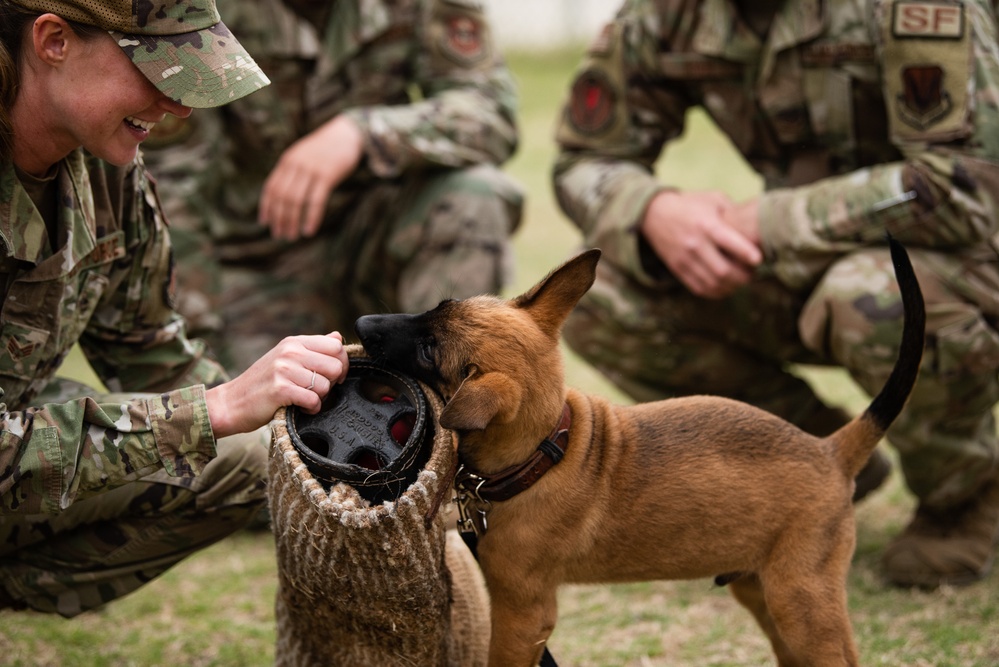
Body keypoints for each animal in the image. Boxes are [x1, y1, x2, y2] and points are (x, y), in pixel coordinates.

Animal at [356, 240, 924, 667]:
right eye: (434, 308)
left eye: (430, 350)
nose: (361, 324)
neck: (544, 451)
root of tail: (828, 450)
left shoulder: (523, 614)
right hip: (762, 592)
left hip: (801, 602)